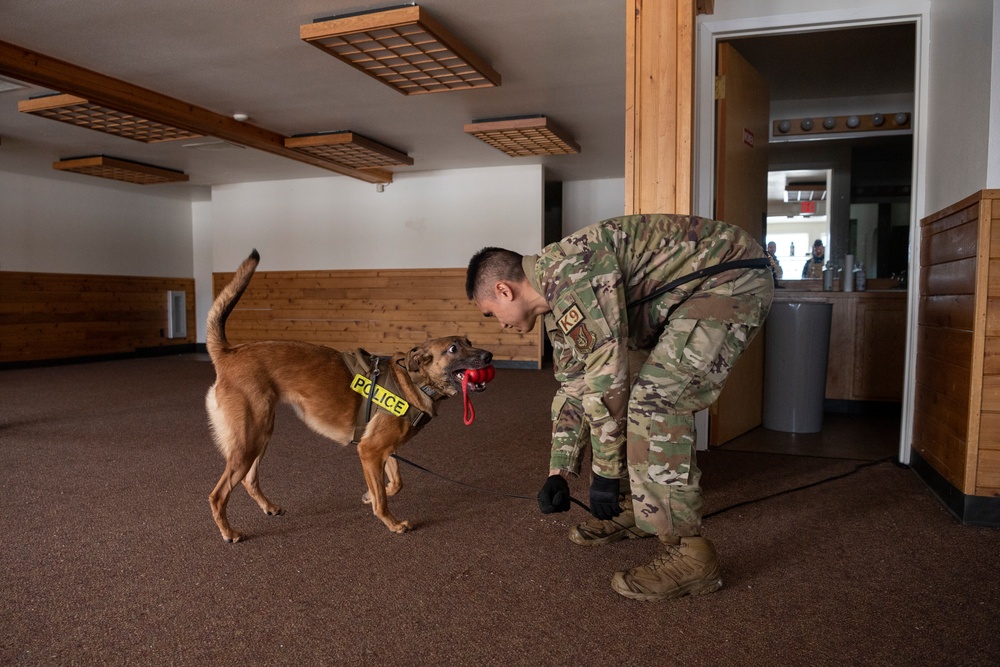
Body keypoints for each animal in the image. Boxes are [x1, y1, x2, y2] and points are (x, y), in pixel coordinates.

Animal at [208, 250, 496, 544]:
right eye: (453, 349)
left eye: (470, 342)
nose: (489, 356)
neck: (413, 382)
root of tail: (229, 353)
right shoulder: (369, 451)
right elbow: (383, 498)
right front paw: (391, 522)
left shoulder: (384, 450)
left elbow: (395, 483)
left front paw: (370, 495)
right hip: (249, 441)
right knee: (218, 495)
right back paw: (228, 532)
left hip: (261, 435)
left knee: (249, 479)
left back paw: (269, 507)